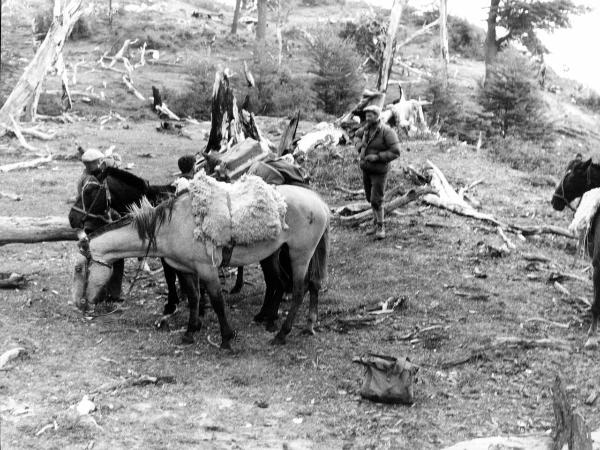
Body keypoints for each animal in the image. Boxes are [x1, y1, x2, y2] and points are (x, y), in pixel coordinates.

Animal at [74, 185, 332, 348]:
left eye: (79, 269)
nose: (79, 304)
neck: (170, 226)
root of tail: (319, 202)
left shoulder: (207, 269)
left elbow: (217, 301)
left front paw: (226, 338)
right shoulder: (187, 270)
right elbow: (194, 298)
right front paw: (190, 331)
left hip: (299, 254)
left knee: (298, 289)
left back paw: (281, 334)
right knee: (301, 284)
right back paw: (299, 323)